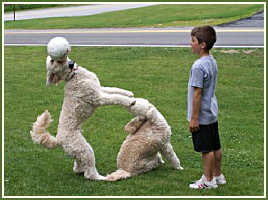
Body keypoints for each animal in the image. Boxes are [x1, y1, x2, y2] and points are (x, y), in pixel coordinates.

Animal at [30, 37, 136, 180]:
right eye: (53, 60)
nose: (70, 62)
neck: (73, 75)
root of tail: (58, 140)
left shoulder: (99, 89)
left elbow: (114, 90)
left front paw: (128, 93)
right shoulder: (98, 98)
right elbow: (115, 98)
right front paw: (130, 101)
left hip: (79, 151)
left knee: (78, 166)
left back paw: (80, 170)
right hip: (85, 150)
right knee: (90, 174)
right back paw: (105, 178)